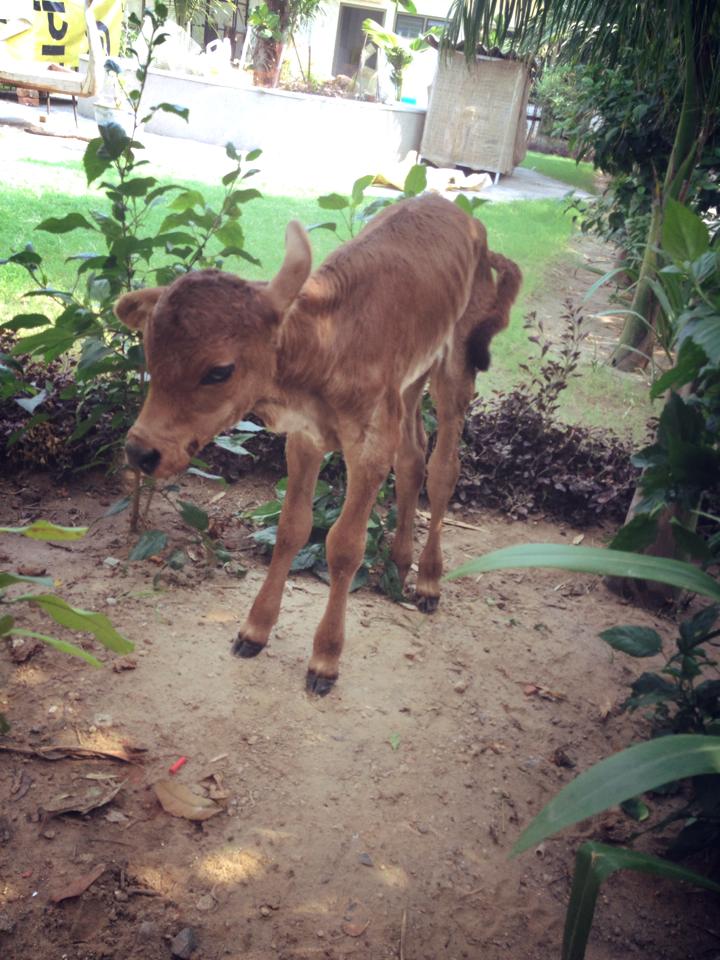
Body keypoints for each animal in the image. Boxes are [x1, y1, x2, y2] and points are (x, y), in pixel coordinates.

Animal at [114, 193, 522, 695]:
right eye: (150, 353)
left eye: (219, 370)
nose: (140, 452)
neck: (331, 342)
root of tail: (464, 216)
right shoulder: (305, 440)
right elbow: (292, 527)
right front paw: (255, 630)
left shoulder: (368, 449)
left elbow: (344, 545)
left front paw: (325, 659)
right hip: (410, 385)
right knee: (412, 456)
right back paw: (400, 563)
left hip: (454, 369)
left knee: (443, 467)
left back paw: (428, 580)